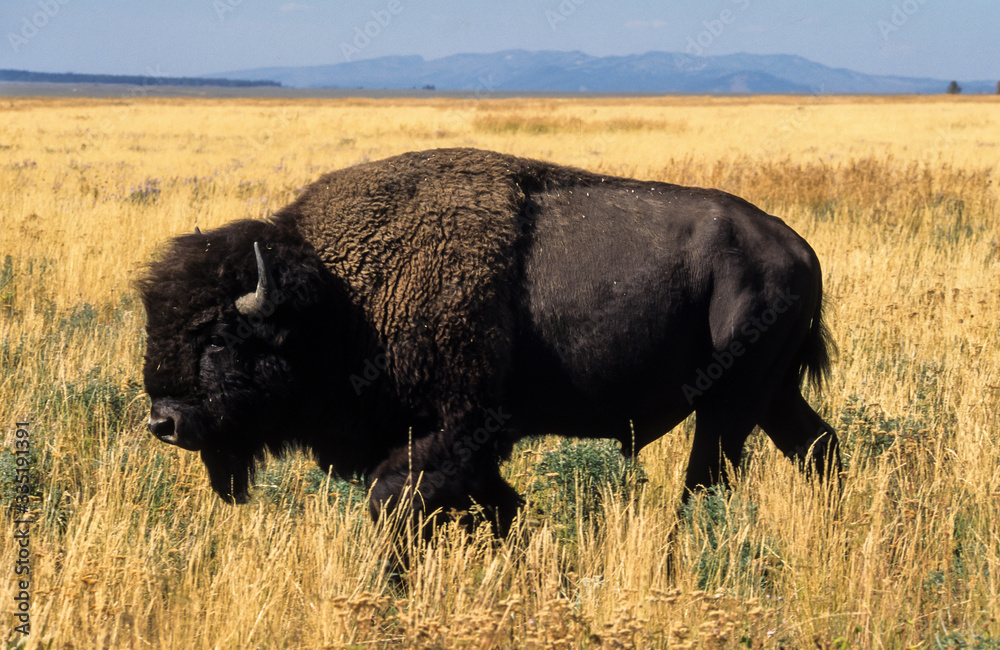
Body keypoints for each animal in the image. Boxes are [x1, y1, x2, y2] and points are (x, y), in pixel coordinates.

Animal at [141, 147, 840, 536]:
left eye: (218, 339)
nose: (164, 423)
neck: (341, 297)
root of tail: (799, 247)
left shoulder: (451, 437)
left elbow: (393, 505)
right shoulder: (463, 453)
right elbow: (503, 509)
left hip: (730, 403)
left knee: (708, 480)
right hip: (770, 396)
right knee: (817, 447)